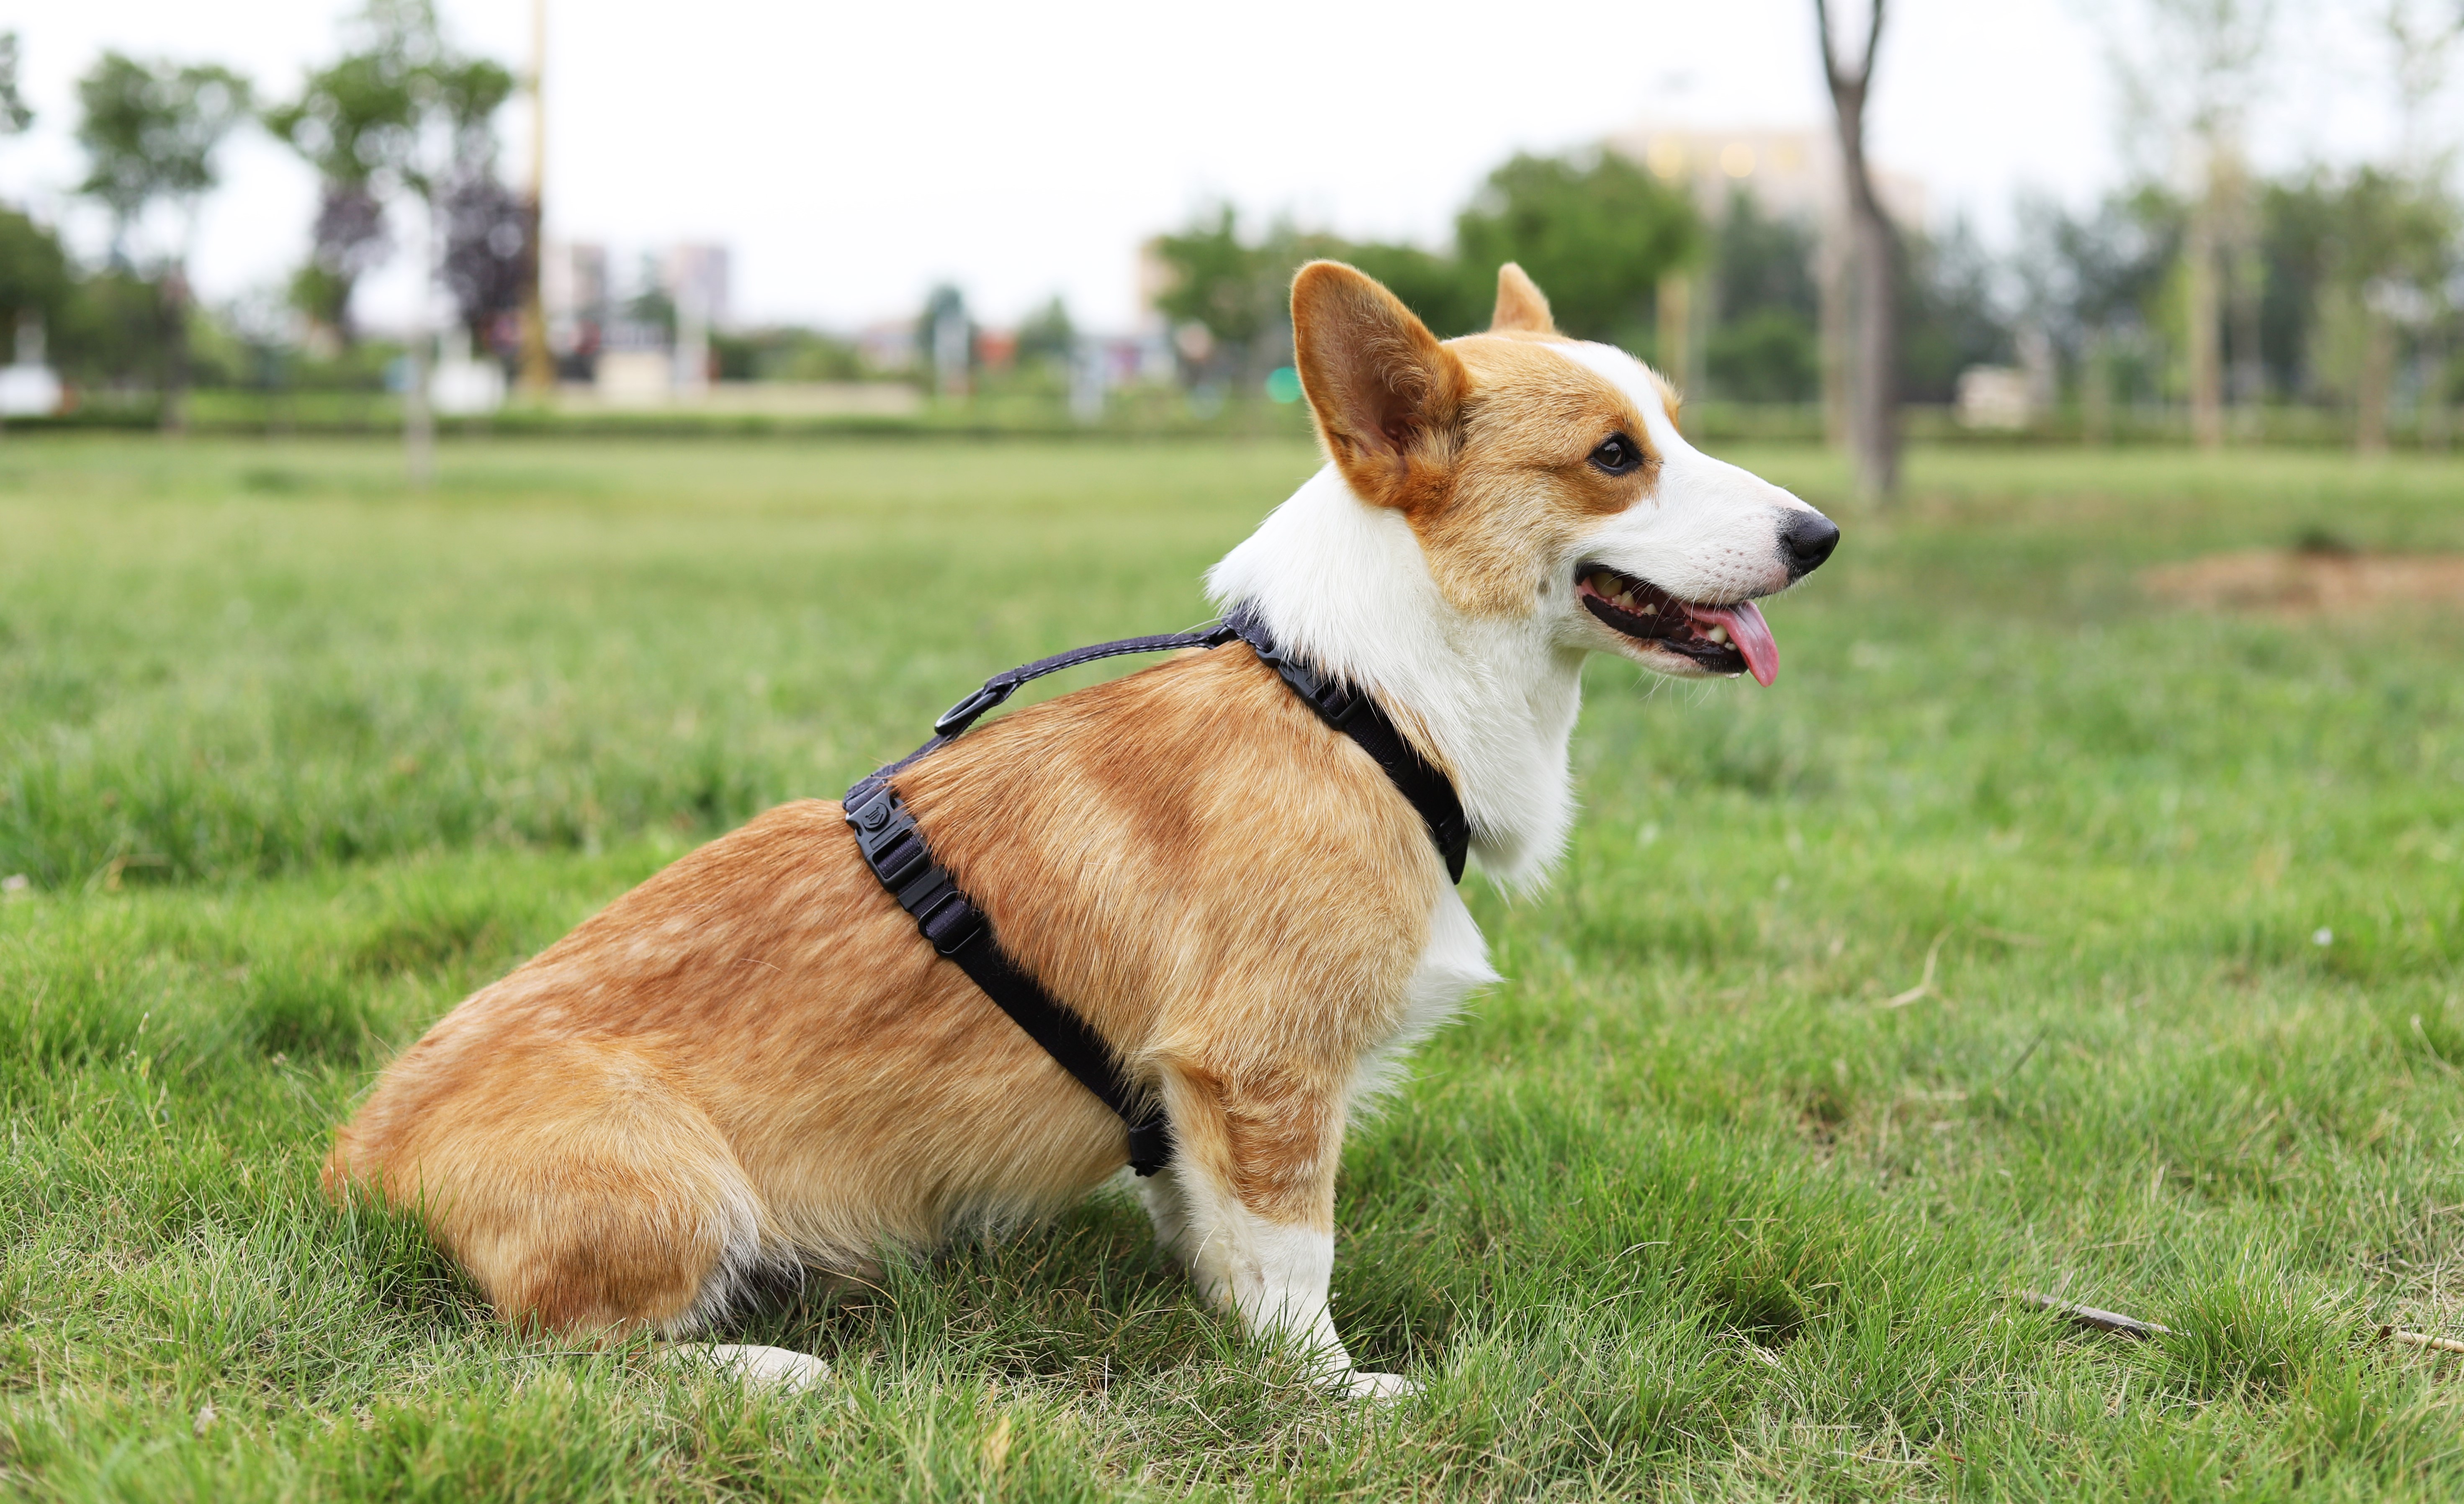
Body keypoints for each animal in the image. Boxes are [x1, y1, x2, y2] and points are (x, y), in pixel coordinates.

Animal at [326, 261, 1840, 1398]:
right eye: (1611, 458)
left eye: (1678, 425)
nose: (1820, 537)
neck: (1362, 703)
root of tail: (354, 1169)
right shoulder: (1264, 1071)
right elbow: (1295, 1262)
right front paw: (1334, 1393)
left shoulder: (1190, 1103)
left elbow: (1217, 1237)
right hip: (675, 1184)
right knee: (558, 1347)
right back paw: (766, 1369)